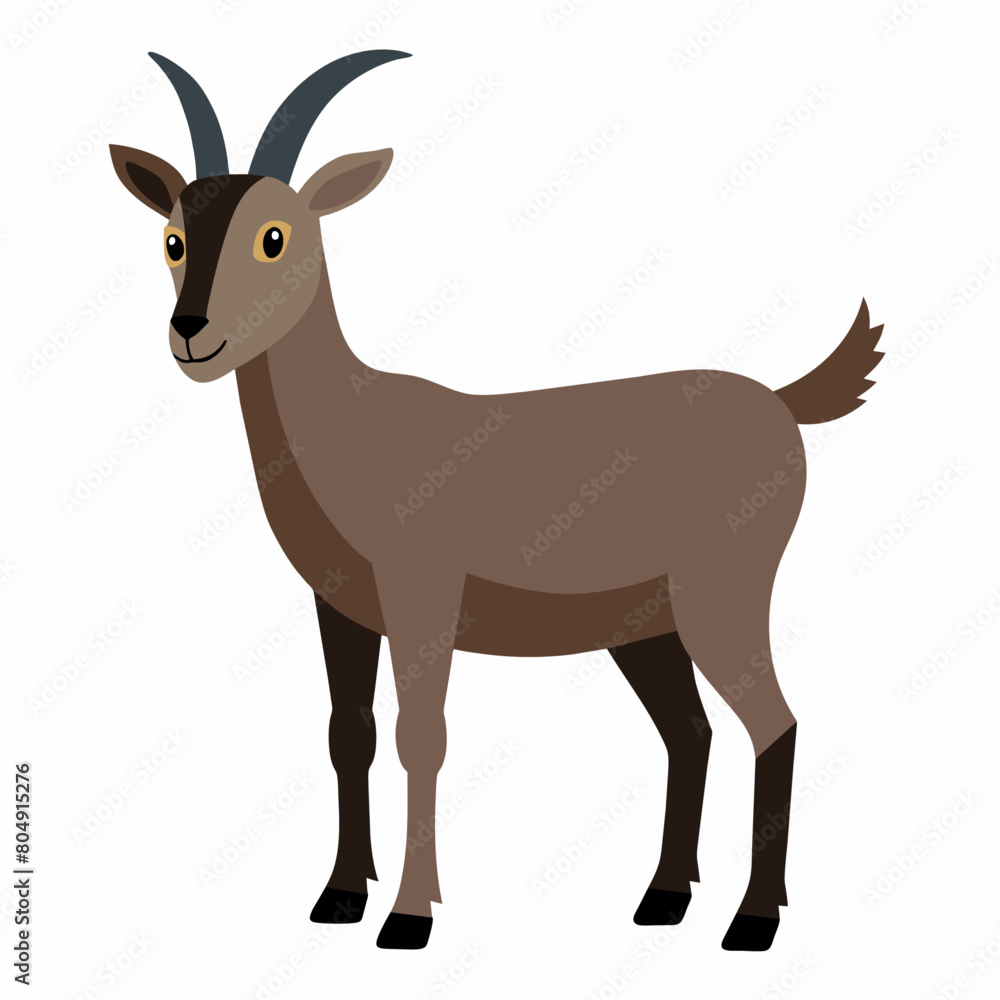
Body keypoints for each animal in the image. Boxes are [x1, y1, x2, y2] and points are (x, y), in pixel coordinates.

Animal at [110, 50, 882, 951]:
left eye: (275, 235)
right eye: (173, 238)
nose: (191, 331)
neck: (353, 420)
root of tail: (782, 401)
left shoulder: (423, 593)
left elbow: (421, 736)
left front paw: (408, 917)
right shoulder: (340, 605)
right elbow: (348, 733)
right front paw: (338, 897)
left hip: (723, 593)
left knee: (775, 722)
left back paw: (752, 922)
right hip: (644, 624)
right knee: (691, 732)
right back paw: (663, 900)